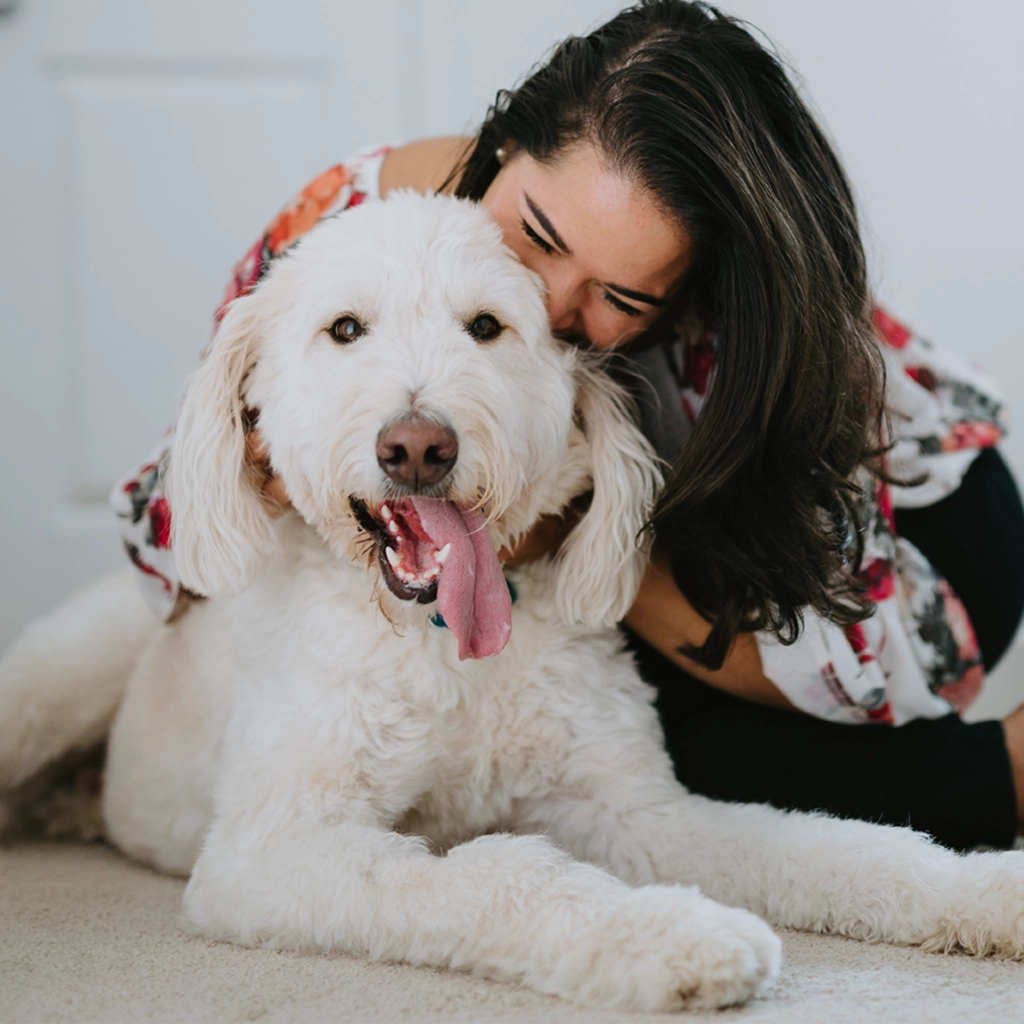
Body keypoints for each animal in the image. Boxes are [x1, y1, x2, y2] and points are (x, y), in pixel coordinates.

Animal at [2, 193, 1024, 1015]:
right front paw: (674, 938)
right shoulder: (270, 850)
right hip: (56, 682)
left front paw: (987, 894)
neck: (443, 646)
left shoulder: (633, 810)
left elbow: (834, 845)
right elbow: (500, 873)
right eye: (345, 330)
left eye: (486, 327)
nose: (419, 447)